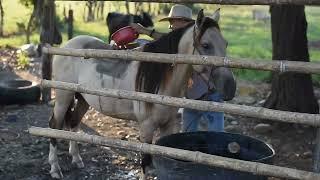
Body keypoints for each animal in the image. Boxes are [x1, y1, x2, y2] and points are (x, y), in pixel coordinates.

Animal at [47, 8, 235, 180]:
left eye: (225, 44)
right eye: (206, 45)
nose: (230, 87)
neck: (161, 81)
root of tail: (68, 45)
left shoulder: (168, 126)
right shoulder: (146, 128)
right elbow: (145, 163)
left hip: (83, 99)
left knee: (73, 122)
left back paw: (77, 159)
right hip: (63, 98)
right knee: (54, 126)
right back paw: (55, 169)